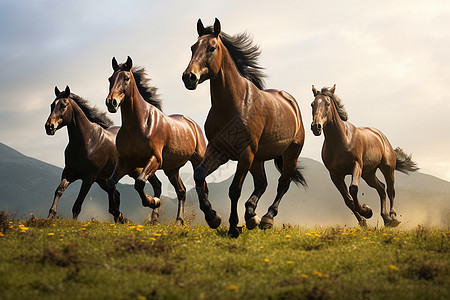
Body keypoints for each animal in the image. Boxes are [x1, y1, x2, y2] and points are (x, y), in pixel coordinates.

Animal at [44, 85, 163, 221]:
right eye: (52, 105)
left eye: (63, 105)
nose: (49, 126)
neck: (87, 141)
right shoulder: (69, 173)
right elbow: (59, 191)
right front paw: (50, 216)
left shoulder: (89, 178)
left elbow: (77, 205)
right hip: (104, 180)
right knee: (117, 195)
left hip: (137, 170)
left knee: (156, 184)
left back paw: (153, 213)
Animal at [104, 56, 208, 225]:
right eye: (110, 79)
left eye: (126, 78)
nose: (111, 102)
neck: (139, 124)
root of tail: (193, 124)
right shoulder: (126, 162)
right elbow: (111, 183)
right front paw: (118, 213)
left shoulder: (155, 159)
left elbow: (140, 182)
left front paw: (153, 201)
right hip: (171, 169)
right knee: (181, 191)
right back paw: (178, 221)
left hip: (197, 160)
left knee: (201, 187)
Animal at [182, 18, 306, 238]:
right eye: (193, 47)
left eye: (212, 48)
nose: (189, 77)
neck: (233, 104)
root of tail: (290, 101)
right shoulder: (219, 150)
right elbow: (199, 175)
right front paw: (213, 217)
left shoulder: (245, 154)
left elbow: (234, 190)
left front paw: (233, 226)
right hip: (258, 158)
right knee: (262, 183)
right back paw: (251, 216)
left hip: (290, 154)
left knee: (282, 185)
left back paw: (266, 218)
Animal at [310, 84, 418, 225]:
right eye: (312, 104)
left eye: (327, 104)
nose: (316, 127)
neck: (341, 140)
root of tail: (381, 136)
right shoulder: (335, 175)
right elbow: (348, 199)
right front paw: (364, 220)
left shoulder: (356, 165)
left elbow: (353, 189)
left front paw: (366, 211)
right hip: (368, 174)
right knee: (381, 188)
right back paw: (386, 219)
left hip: (387, 168)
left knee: (390, 190)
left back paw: (393, 217)